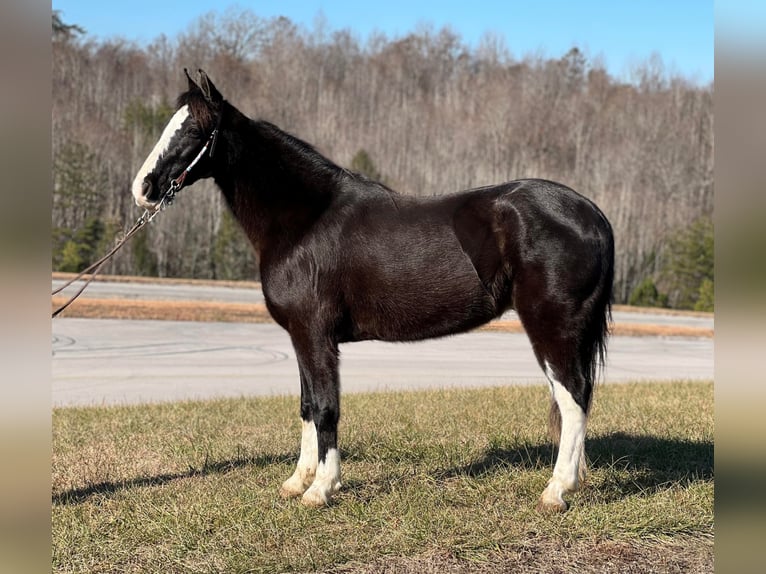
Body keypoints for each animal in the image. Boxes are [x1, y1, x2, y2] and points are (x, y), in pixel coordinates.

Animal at [130, 68, 612, 512]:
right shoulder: (301, 337)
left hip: (552, 326)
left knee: (572, 398)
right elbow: (307, 405)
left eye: (193, 129)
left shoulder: (316, 335)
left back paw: (556, 491)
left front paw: (322, 489)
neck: (305, 219)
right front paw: (297, 481)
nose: (143, 188)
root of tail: (593, 214)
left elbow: (326, 407)